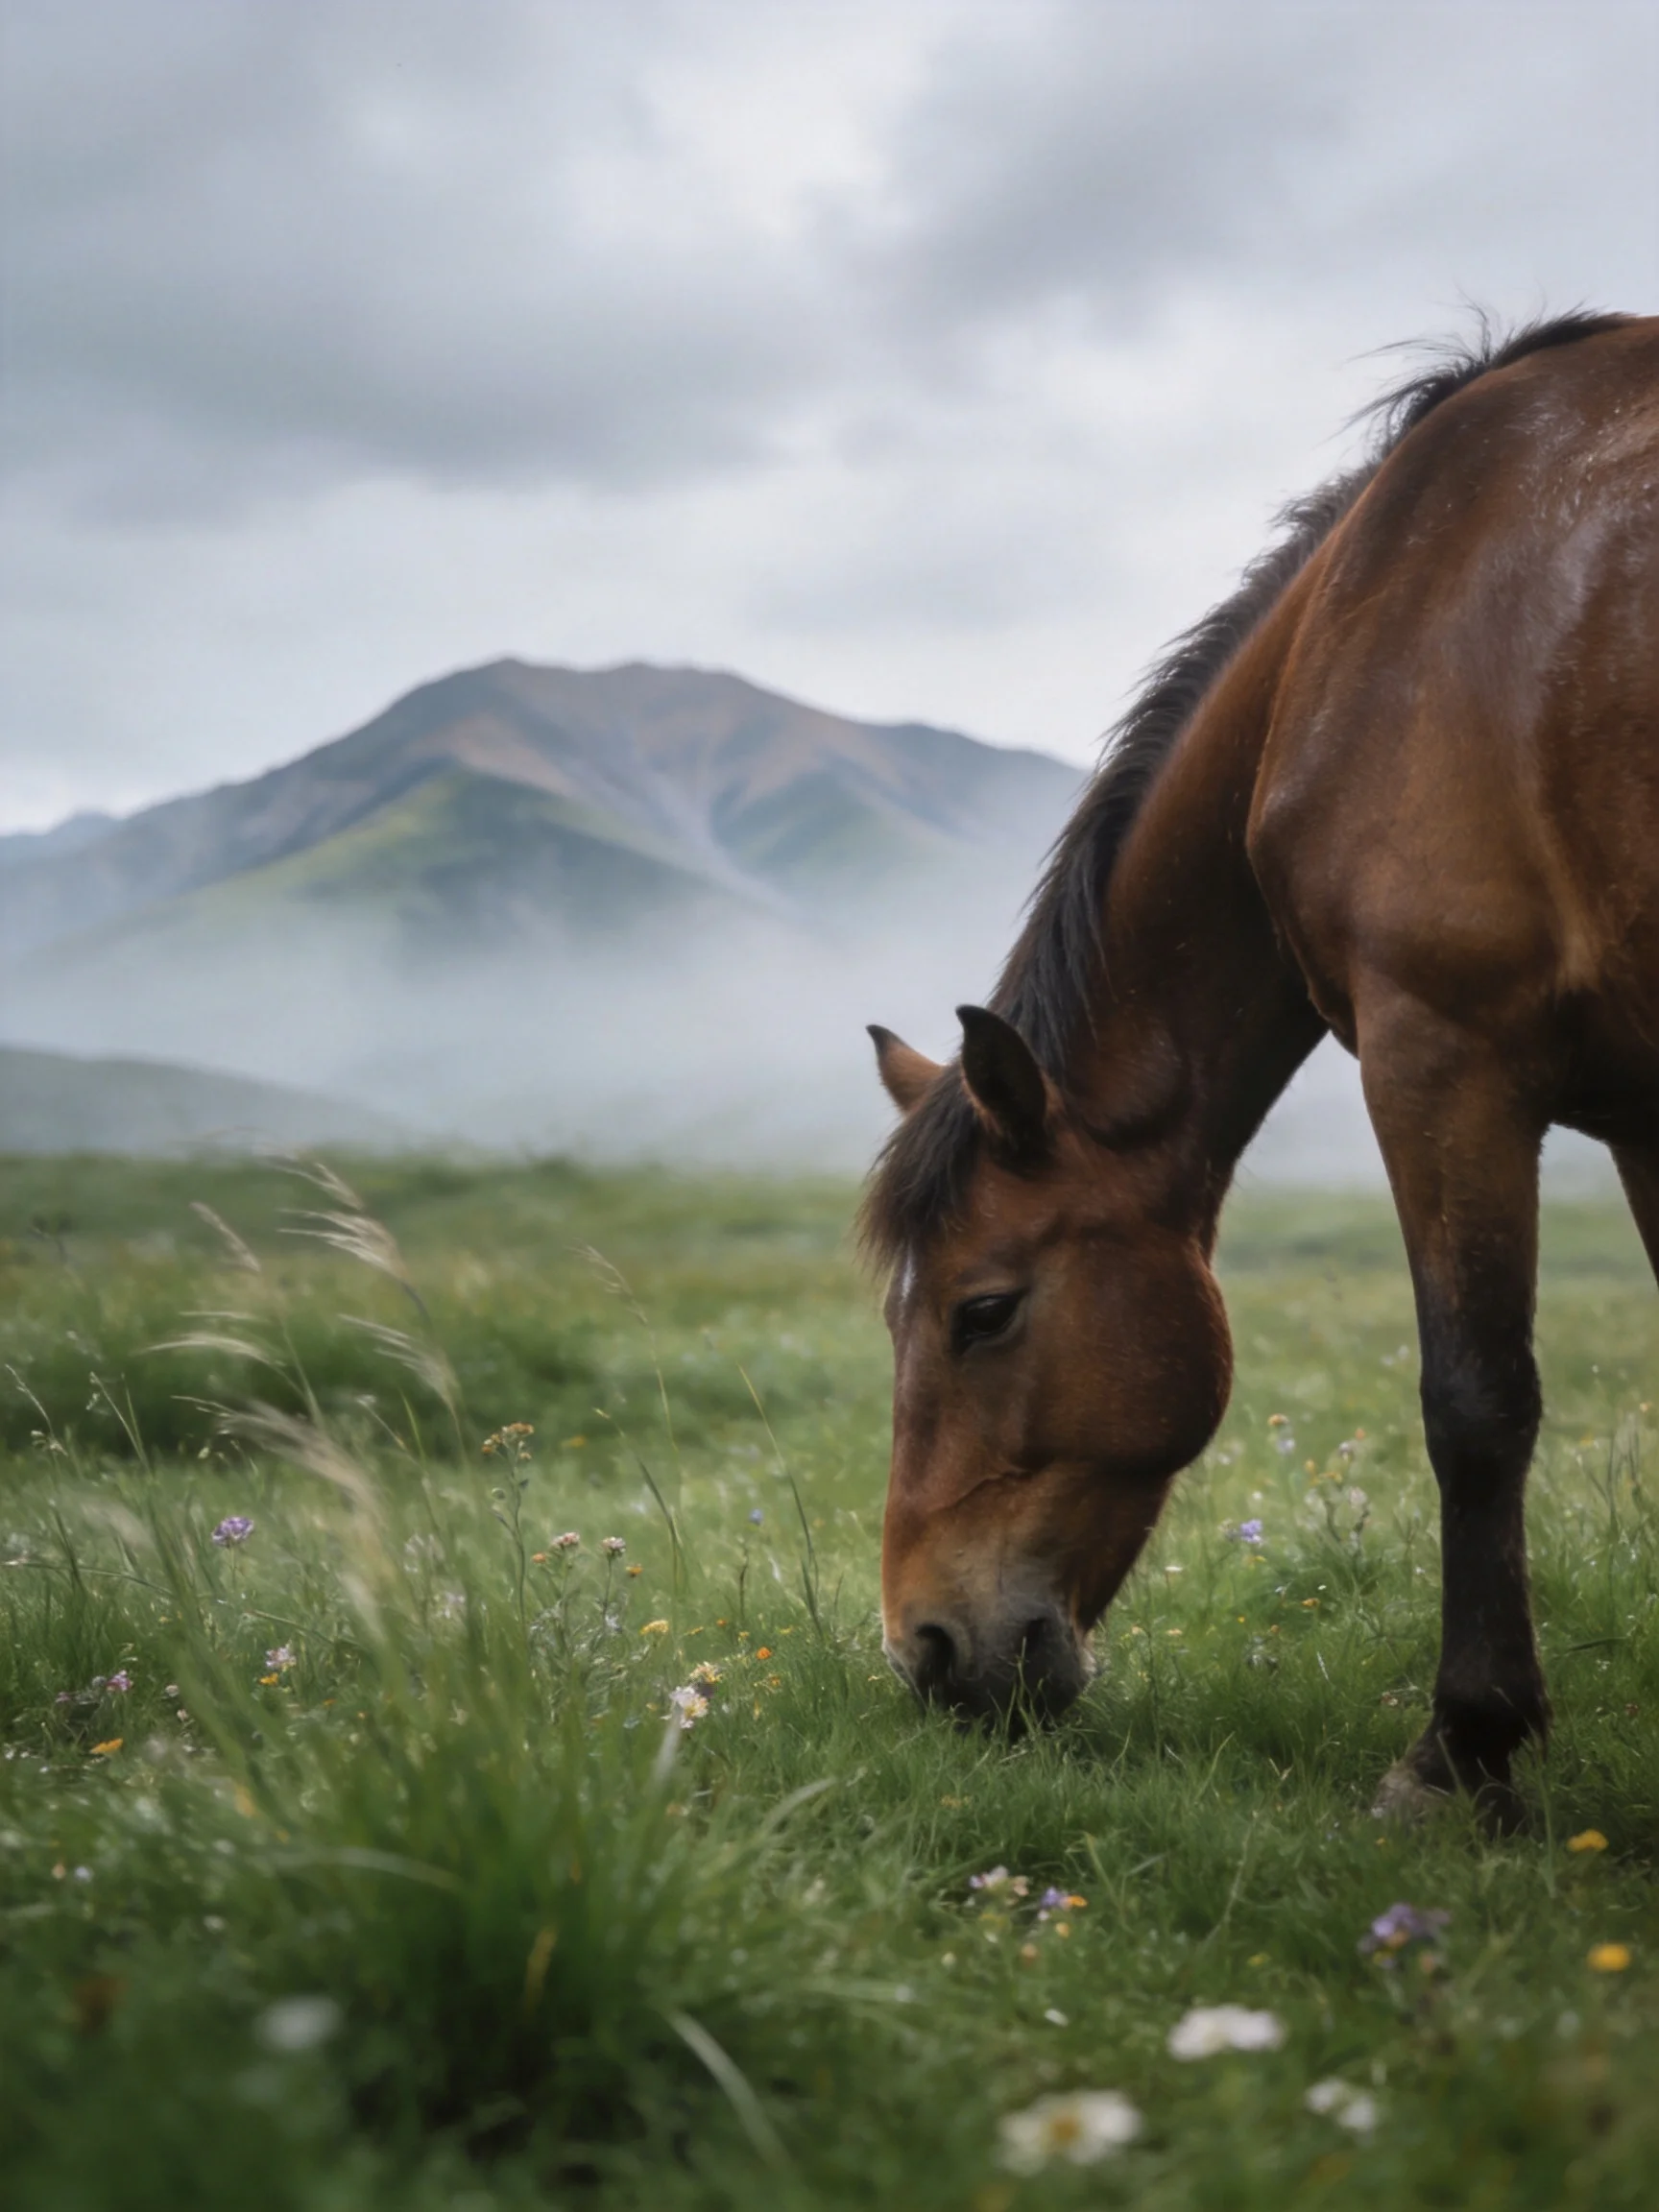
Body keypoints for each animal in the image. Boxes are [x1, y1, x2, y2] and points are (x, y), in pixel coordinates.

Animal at [862, 311, 1658, 1822]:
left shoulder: (1436, 1056)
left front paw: (1462, 1748)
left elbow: (1475, 1403)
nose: (926, 1650)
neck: (1377, 621)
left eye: (982, 1313)